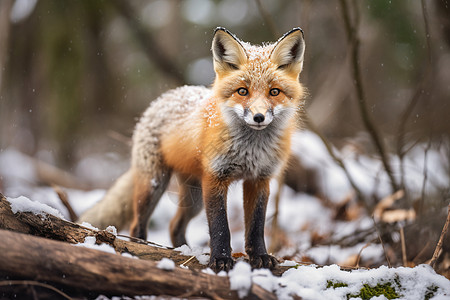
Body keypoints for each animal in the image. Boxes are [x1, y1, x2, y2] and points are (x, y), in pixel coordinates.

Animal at [80, 27, 306, 272]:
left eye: (274, 92)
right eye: (242, 91)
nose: (258, 117)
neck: (250, 150)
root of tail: (163, 98)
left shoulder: (259, 179)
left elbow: (256, 226)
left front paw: (260, 256)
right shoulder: (215, 177)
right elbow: (220, 227)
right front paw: (221, 260)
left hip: (193, 199)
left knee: (174, 225)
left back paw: (185, 252)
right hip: (154, 185)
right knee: (136, 225)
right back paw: (142, 249)